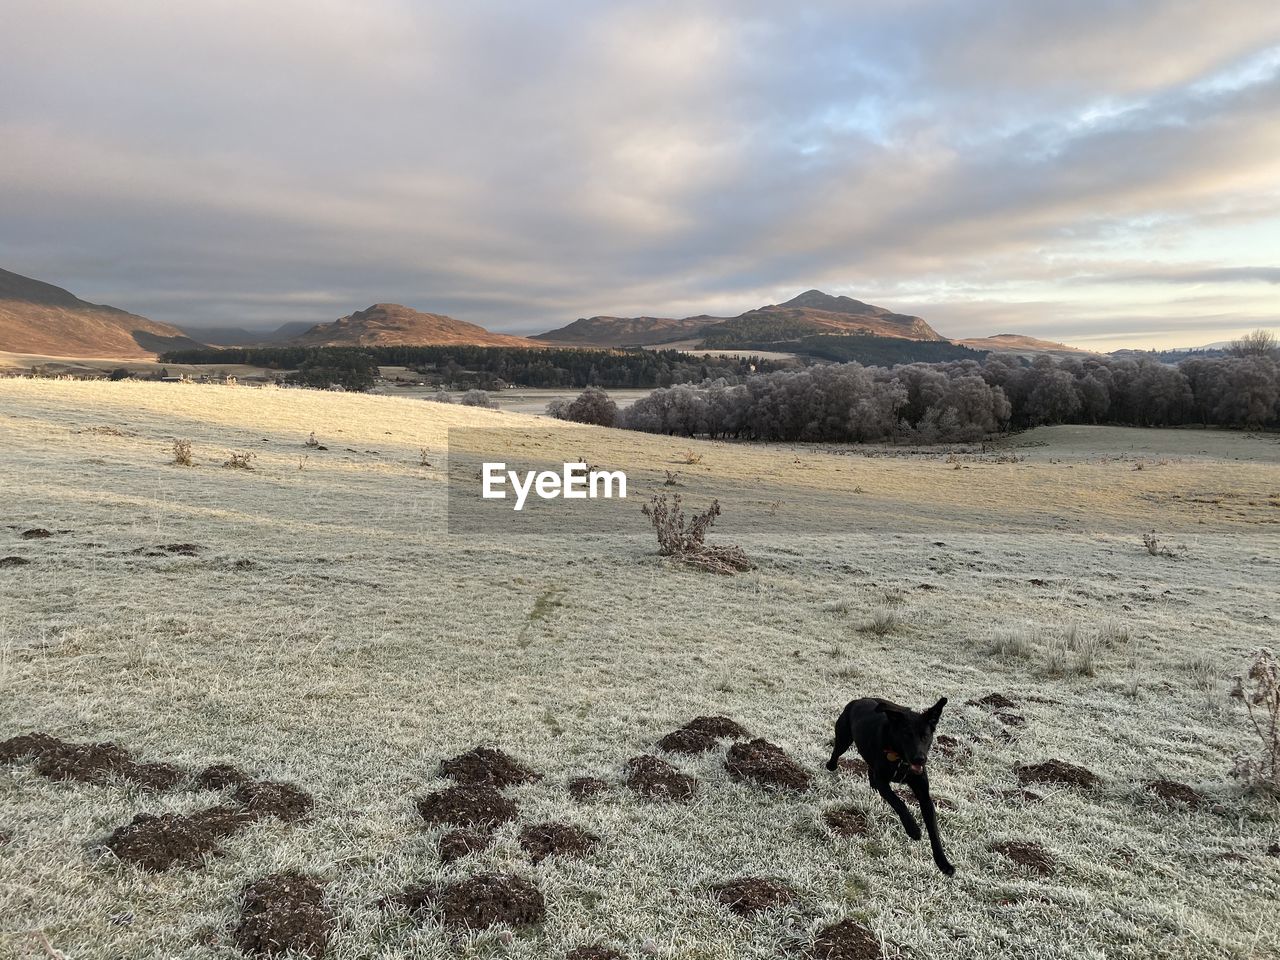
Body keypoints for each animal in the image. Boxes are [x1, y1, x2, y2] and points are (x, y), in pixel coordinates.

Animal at [824, 701, 957, 880]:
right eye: (906, 735)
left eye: (925, 736)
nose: (920, 759)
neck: (900, 759)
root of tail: (858, 700)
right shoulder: (883, 783)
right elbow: (899, 802)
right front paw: (913, 829)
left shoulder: (924, 794)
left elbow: (933, 830)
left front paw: (943, 863)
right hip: (844, 738)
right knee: (837, 751)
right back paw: (831, 765)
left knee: (870, 769)